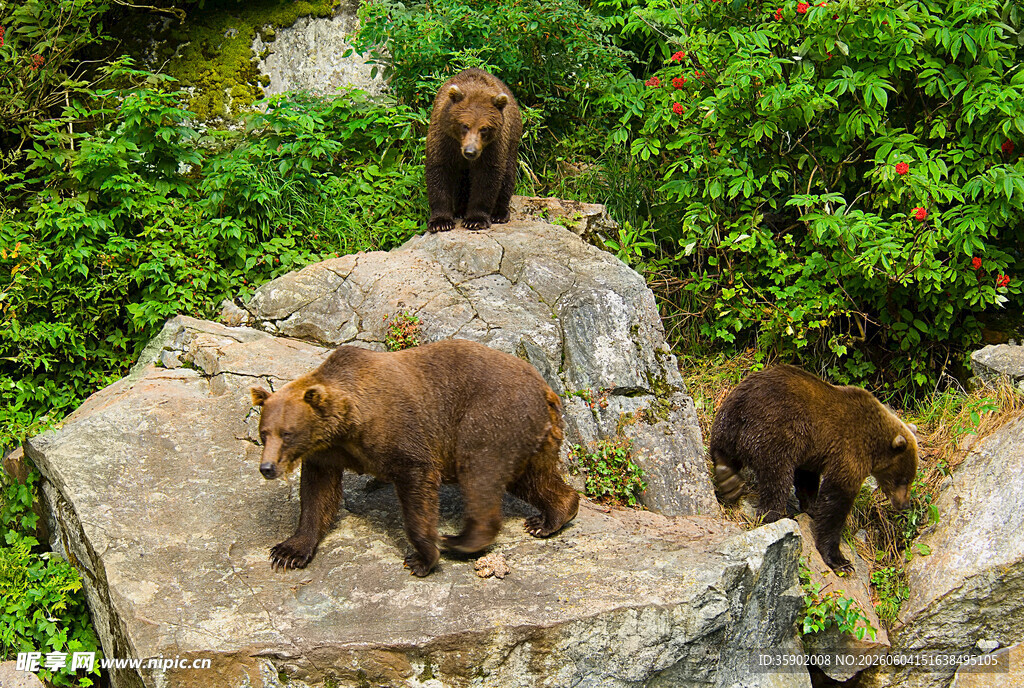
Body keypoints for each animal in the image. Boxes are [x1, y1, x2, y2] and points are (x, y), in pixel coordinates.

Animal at [249, 339, 579, 576]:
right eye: (264, 432)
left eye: (287, 433)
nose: (267, 468)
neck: (349, 424)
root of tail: (546, 389)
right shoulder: (327, 452)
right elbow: (317, 495)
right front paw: (288, 552)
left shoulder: (398, 432)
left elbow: (417, 480)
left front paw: (422, 558)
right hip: (531, 436)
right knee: (532, 478)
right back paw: (550, 517)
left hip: (489, 417)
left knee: (479, 474)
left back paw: (460, 541)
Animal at [425, 68, 522, 232]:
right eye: (465, 125)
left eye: (484, 129)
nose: (470, 152)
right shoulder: (444, 138)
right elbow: (439, 170)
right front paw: (441, 222)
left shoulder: (492, 146)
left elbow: (487, 176)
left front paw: (475, 219)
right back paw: (460, 210)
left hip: (511, 138)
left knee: (508, 173)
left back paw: (499, 213)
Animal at [709, 365, 918, 573]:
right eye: (903, 479)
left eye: (911, 479)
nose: (905, 505)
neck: (874, 446)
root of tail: (741, 408)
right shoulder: (850, 451)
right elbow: (836, 500)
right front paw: (840, 559)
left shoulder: (814, 449)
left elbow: (807, 479)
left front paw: (811, 507)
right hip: (774, 431)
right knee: (777, 479)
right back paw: (774, 515)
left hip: (727, 421)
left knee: (723, 450)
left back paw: (728, 479)